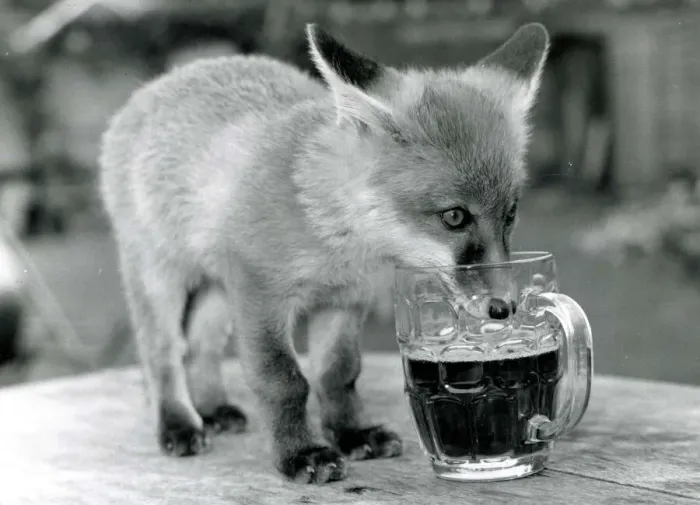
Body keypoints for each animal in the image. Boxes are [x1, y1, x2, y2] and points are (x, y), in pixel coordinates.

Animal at [99, 22, 549, 483]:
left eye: (510, 214)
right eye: (455, 216)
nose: (504, 308)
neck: (336, 239)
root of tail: (157, 86)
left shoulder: (346, 300)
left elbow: (338, 373)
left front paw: (351, 434)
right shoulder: (261, 296)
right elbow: (284, 380)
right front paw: (301, 452)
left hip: (220, 291)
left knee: (200, 346)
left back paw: (212, 408)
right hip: (162, 279)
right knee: (163, 353)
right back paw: (178, 422)